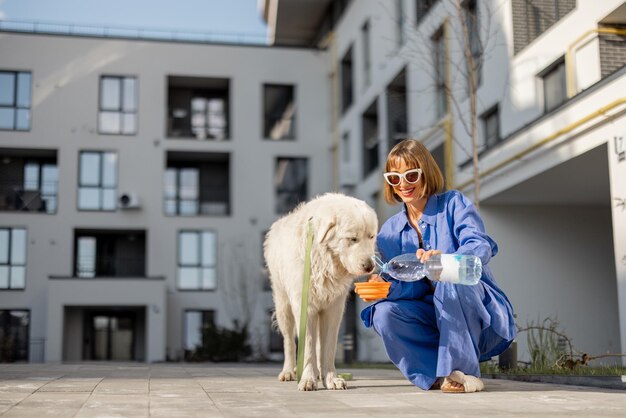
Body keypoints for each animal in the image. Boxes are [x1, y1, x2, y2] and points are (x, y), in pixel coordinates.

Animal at [262, 194, 376, 390]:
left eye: (371, 236)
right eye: (352, 239)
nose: (369, 266)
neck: (324, 259)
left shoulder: (333, 309)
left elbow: (327, 348)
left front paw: (331, 379)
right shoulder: (304, 306)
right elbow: (307, 346)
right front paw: (307, 379)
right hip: (283, 305)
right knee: (289, 341)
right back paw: (289, 371)